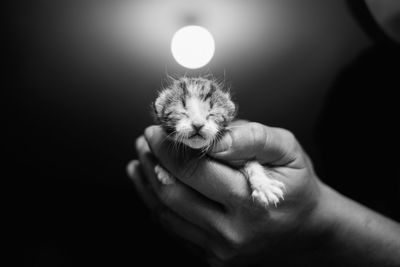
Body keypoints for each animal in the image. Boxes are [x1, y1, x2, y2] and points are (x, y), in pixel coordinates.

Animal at [152, 77, 286, 207]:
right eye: (182, 112)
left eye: (212, 113)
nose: (198, 125)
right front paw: (164, 170)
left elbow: (251, 163)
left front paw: (264, 186)